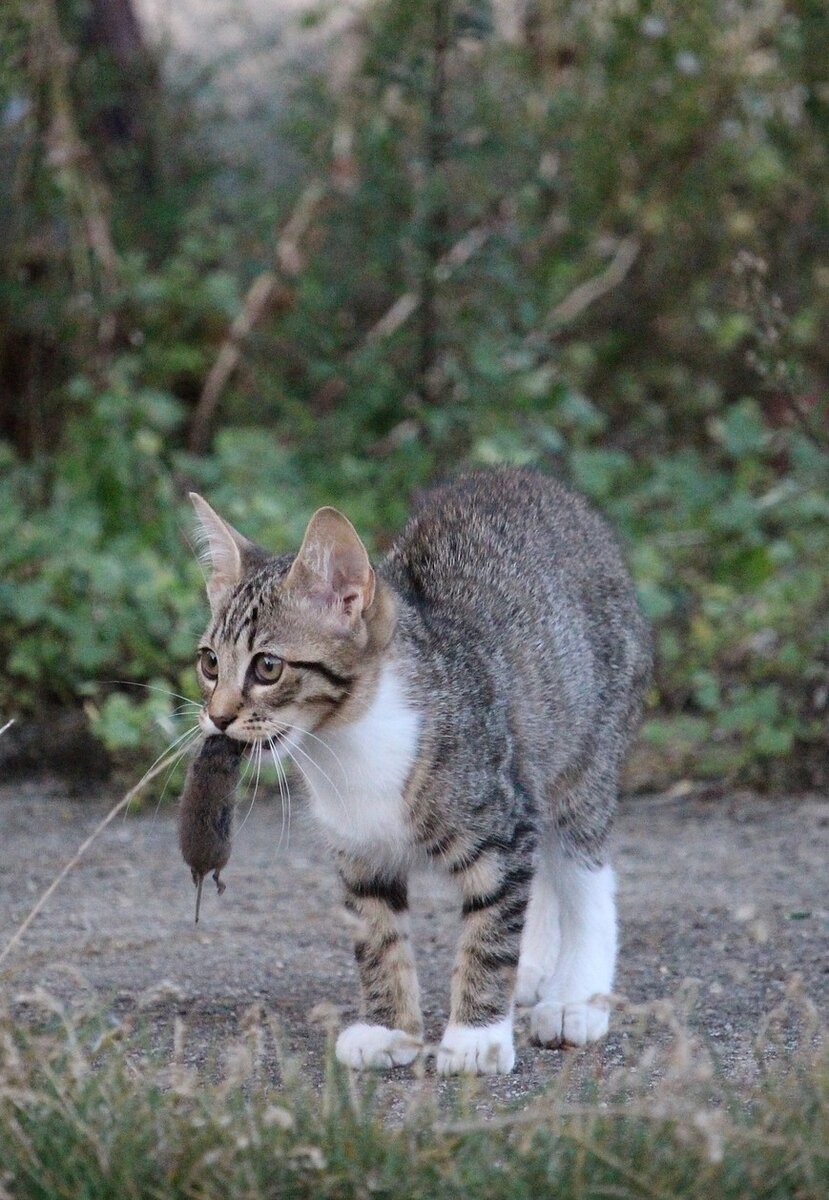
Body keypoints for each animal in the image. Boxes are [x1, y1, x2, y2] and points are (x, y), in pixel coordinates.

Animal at [190, 468, 652, 1080]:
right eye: (209, 663)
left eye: (268, 667)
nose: (217, 716)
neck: (346, 741)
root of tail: (533, 479)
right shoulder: (360, 851)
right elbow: (377, 935)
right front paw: (389, 1029)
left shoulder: (503, 823)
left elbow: (489, 934)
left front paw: (478, 1036)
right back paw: (534, 971)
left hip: (584, 756)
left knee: (583, 872)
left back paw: (576, 997)